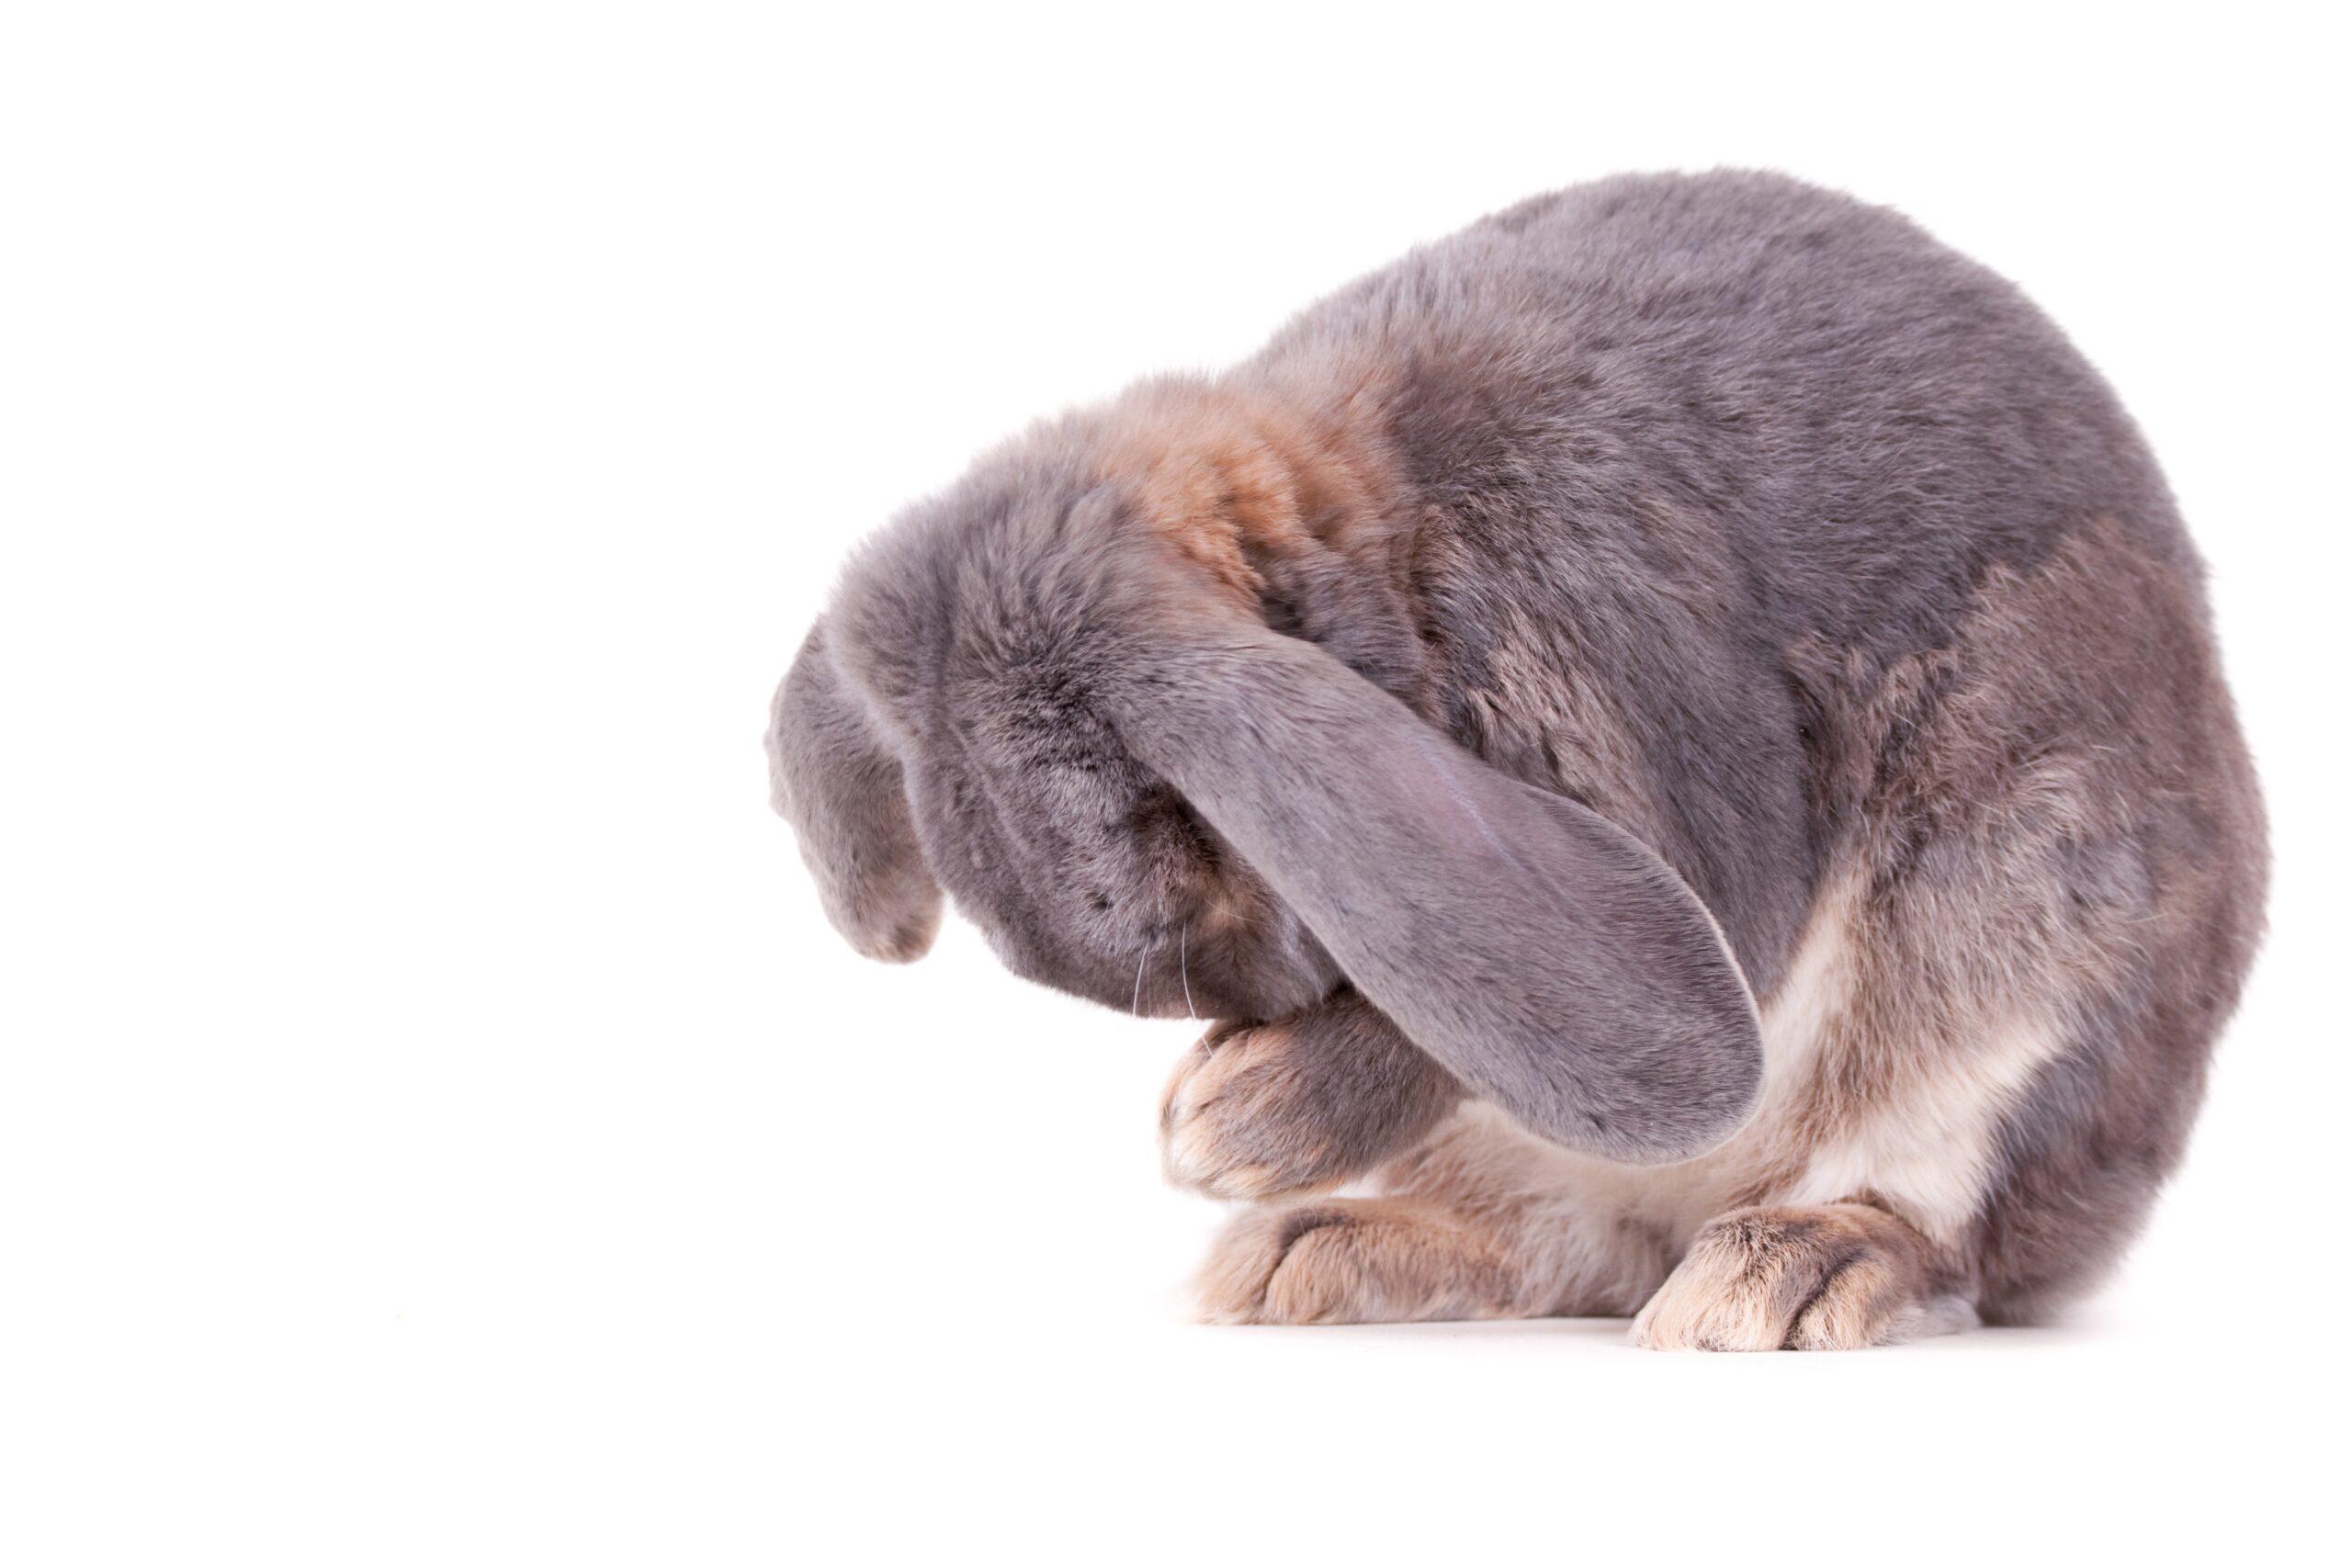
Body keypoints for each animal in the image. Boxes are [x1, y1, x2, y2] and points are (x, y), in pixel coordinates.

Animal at [766, 171, 2257, 1354]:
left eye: (1169, 836)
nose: (1248, 1020)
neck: (1383, 551)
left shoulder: (1634, 709)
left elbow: (1483, 1020)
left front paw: (1229, 1124)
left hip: (2026, 941)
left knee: (1939, 1224)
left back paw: (1794, 1269)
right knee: (1569, 1239)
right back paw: (1313, 1248)